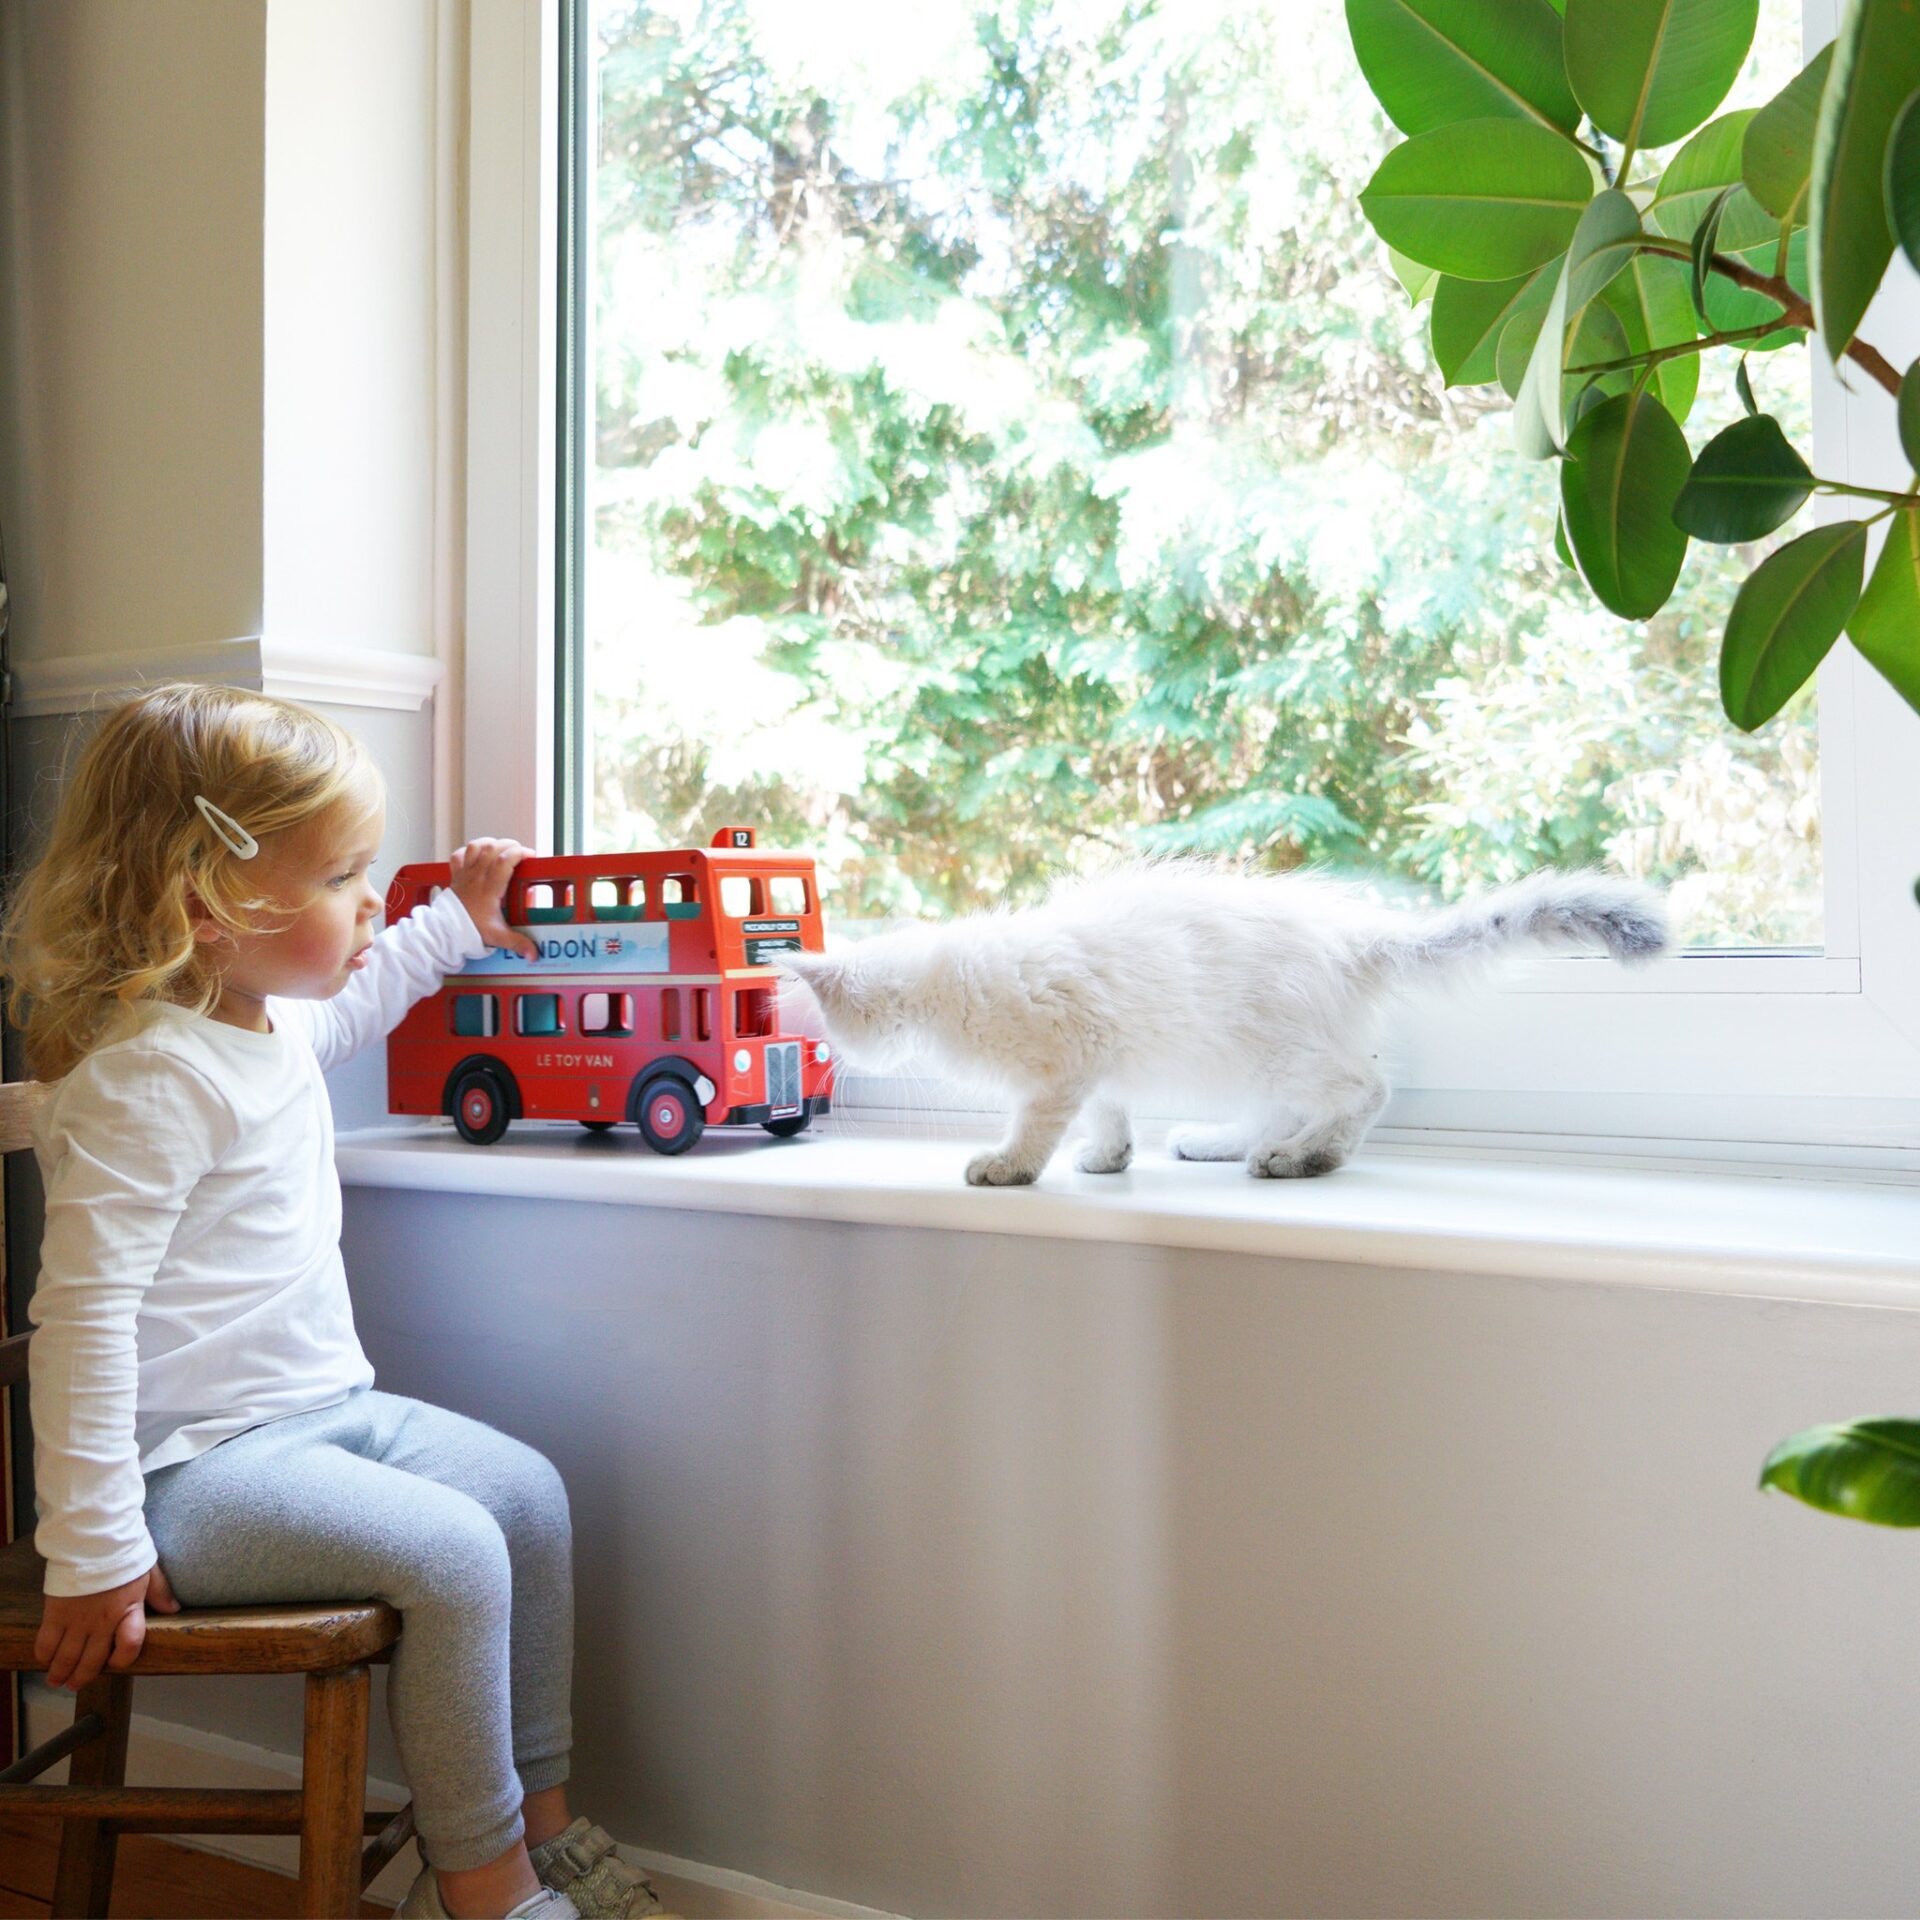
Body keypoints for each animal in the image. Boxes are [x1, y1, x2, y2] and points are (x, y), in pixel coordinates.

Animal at [779, 864, 1668, 1187]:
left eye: (832, 1031)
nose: (828, 1063)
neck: (952, 979)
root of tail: (1350, 935)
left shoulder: (1060, 1066)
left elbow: (1036, 1129)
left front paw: (1008, 1168)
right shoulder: (1097, 1063)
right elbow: (1110, 1115)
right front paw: (1108, 1158)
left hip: (1278, 1052)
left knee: (1366, 1091)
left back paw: (1303, 1159)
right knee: (1288, 1109)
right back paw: (1221, 1144)